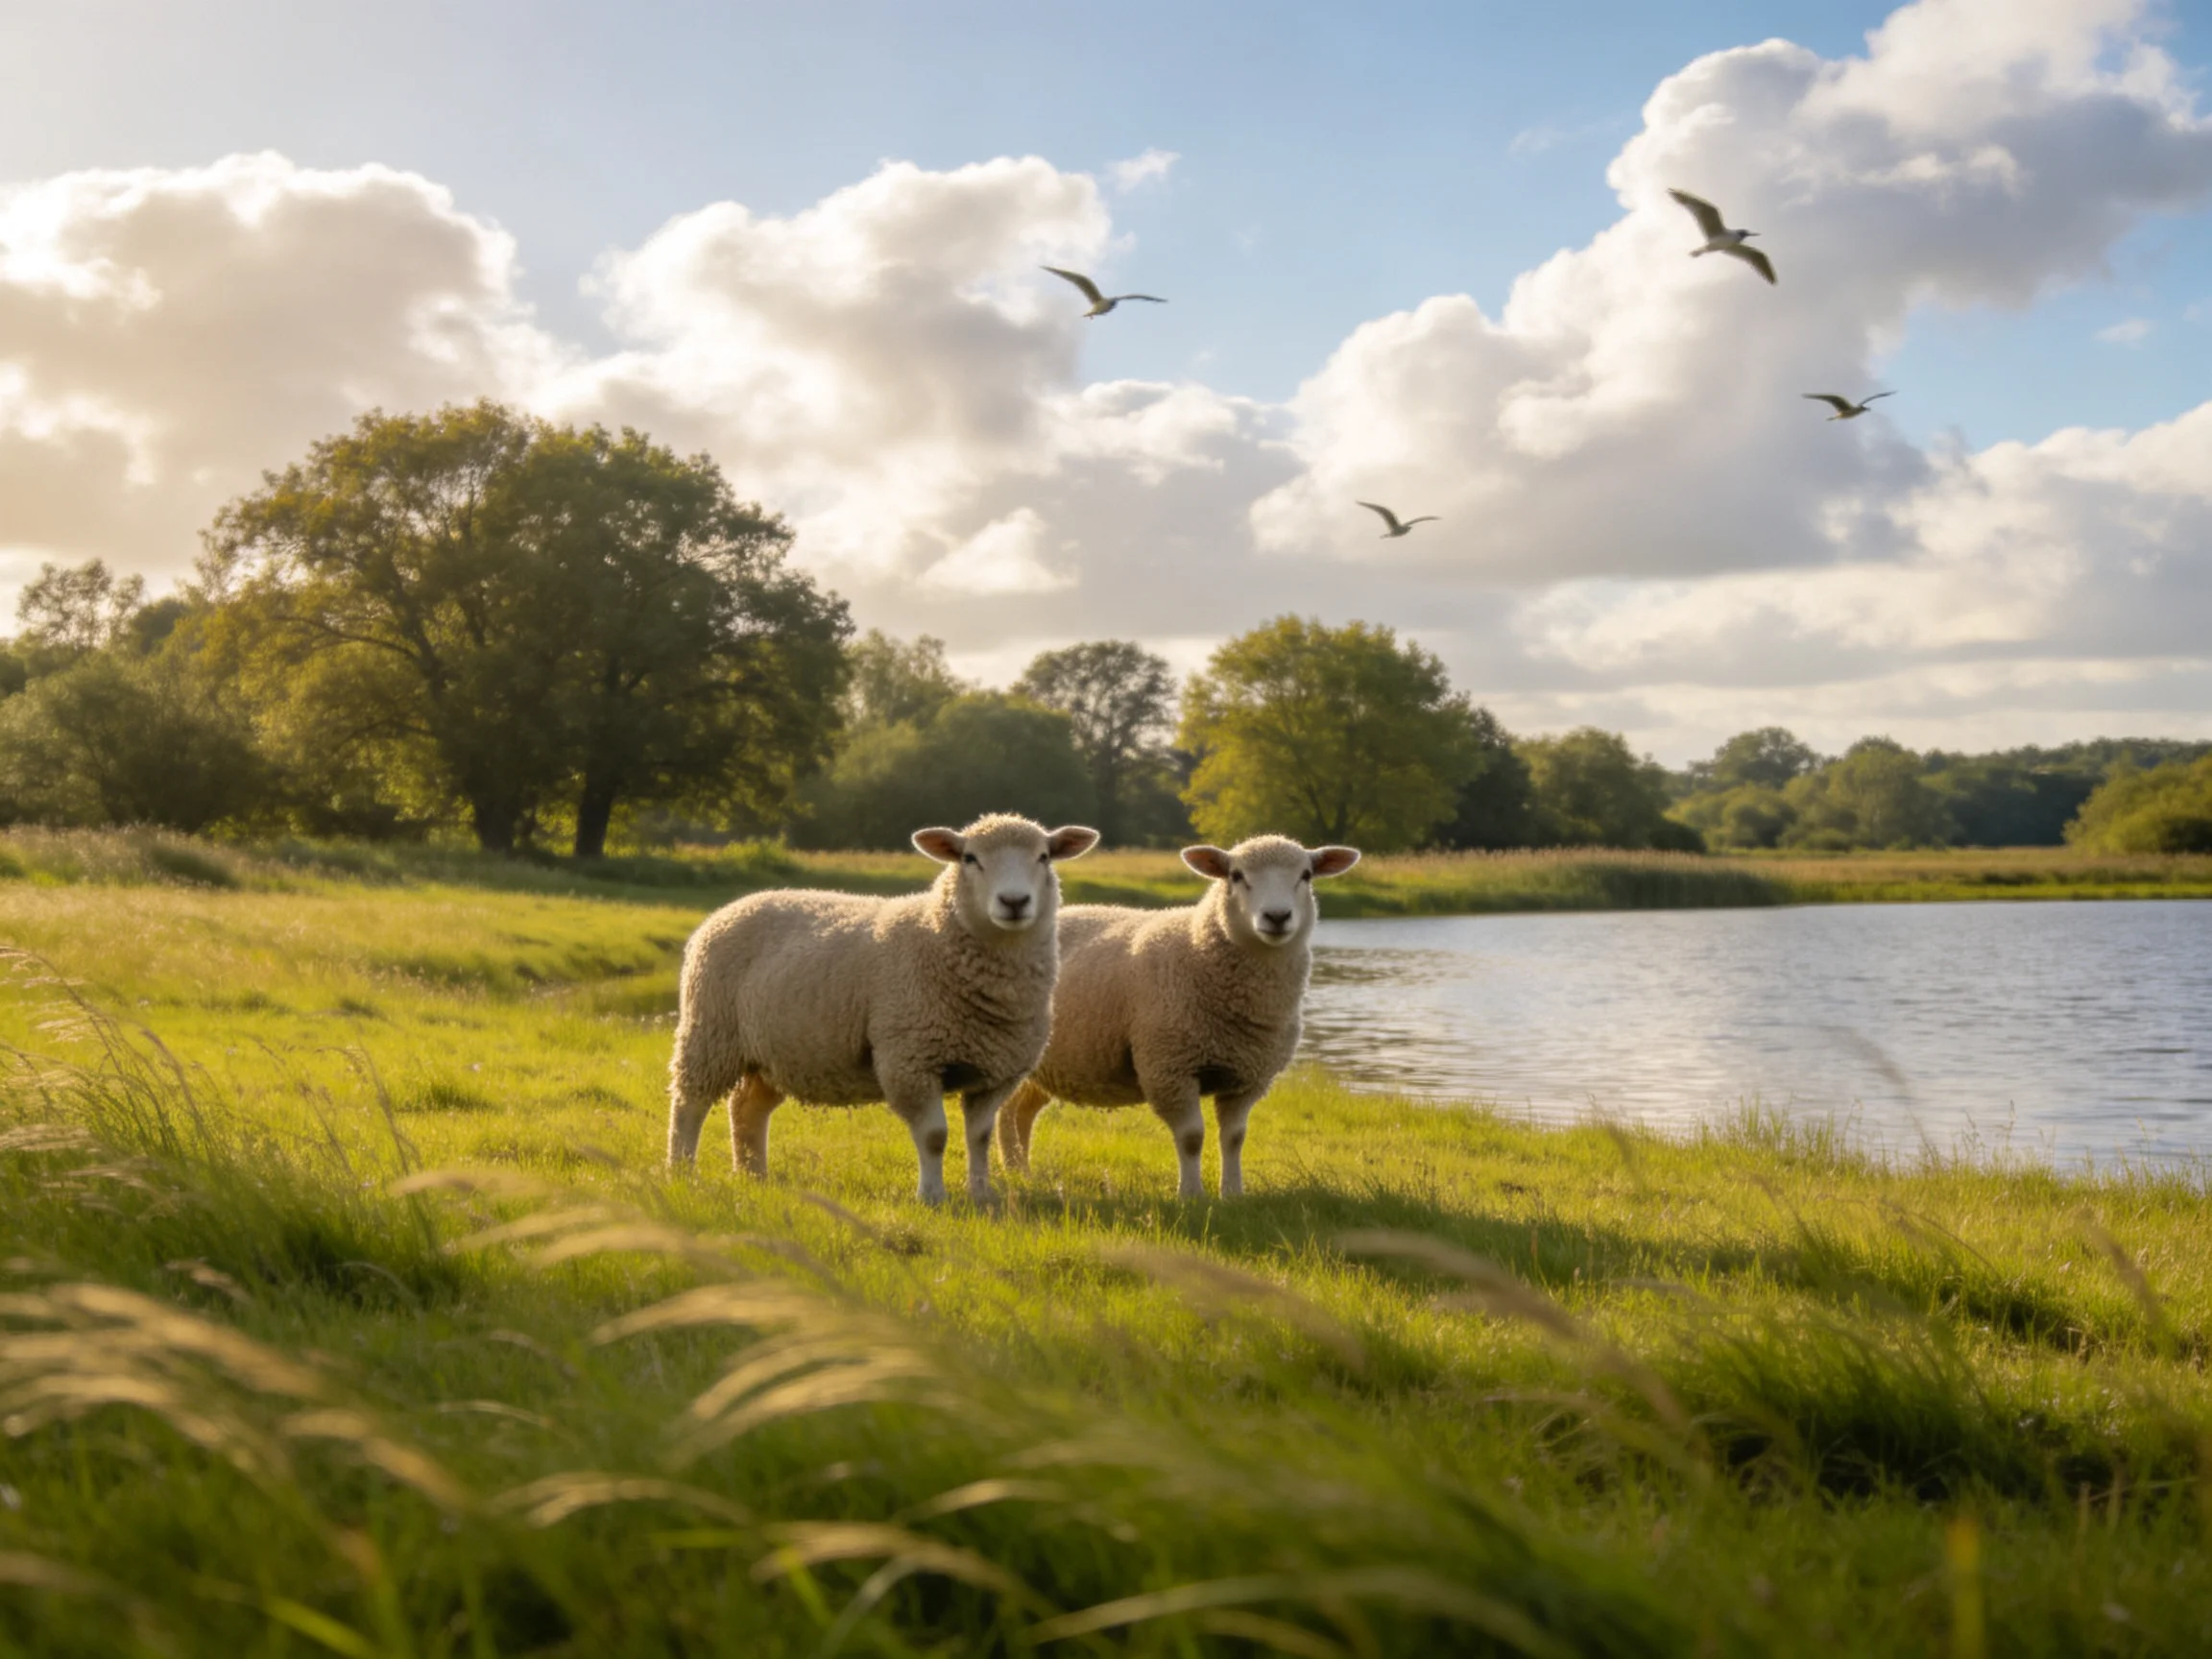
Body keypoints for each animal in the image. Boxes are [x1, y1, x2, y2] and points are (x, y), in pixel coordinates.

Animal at [666, 813, 1100, 1204]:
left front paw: (981, 1195)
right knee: (690, 1103)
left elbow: (979, 1137)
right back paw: (682, 1173)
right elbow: (934, 1137)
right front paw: (932, 1197)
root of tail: (731, 908)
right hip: (710, 1033)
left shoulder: (996, 1071)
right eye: (970, 858)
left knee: (747, 1107)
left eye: (1043, 856)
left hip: (774, 1053)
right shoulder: (909, 1060)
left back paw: (754, 1175)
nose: (1014, 901)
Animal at [998, 835, 1360, 1198]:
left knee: (1019, 1111)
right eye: (1236, 875)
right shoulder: (1169, 1067)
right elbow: (1191, 1138)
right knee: (1007, 1111)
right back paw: (1014, 1173)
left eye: (1306, 875)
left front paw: (1232, 1194)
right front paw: (1191, 1195)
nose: (1277, 916)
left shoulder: (1249, 1075)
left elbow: (1234, 1137)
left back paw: (1021, 1174)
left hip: (1047, 1066)